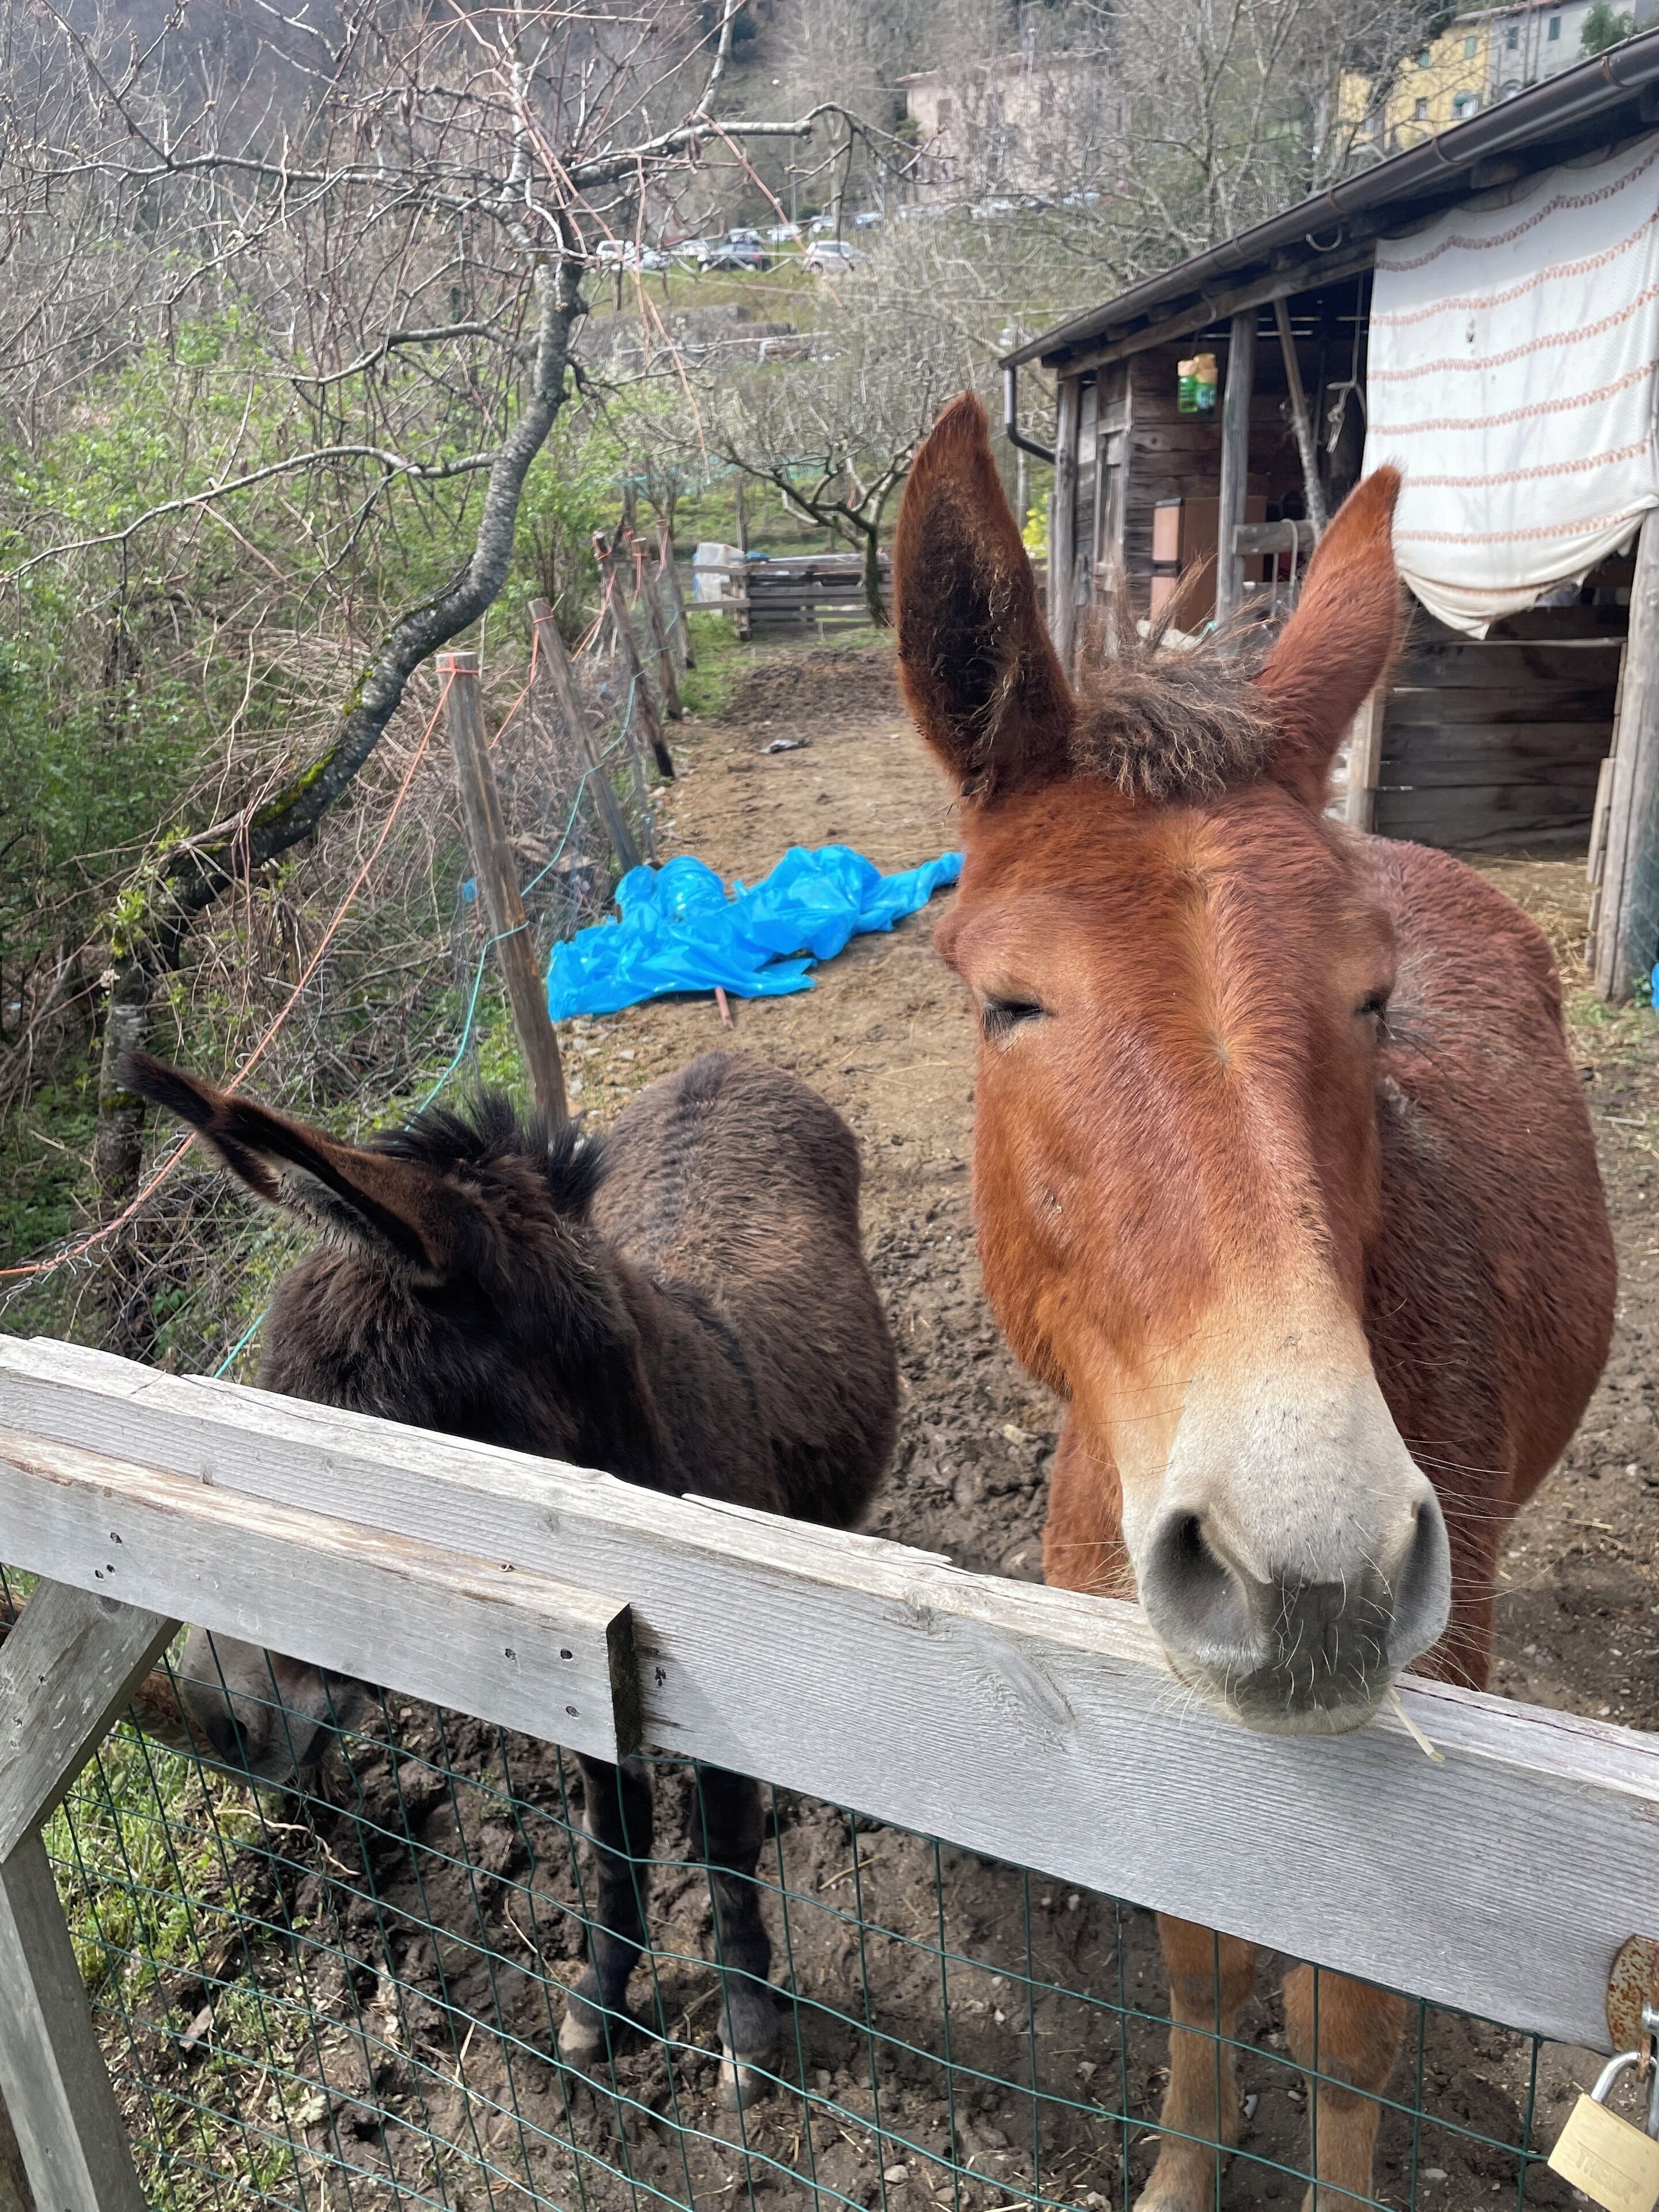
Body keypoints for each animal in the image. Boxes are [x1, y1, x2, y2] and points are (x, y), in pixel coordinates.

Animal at [124, 1046, 900, 2106]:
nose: (221, 1709)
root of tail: (721, 1058)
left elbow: (729, 1849)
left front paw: (747, 2029)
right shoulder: (578, 1691)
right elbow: (611, 1843)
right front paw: (599, 2007)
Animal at [891, 395, 1615, 2211]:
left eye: (1371, 998)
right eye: (1009, 1002)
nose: (1316, 1574)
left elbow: (1347, 2029)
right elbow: (1202, 1972)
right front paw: (1179, 2171)